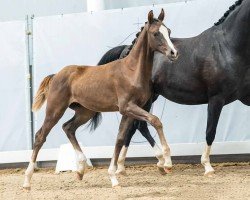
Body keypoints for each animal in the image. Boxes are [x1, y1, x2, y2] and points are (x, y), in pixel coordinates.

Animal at [23, 8, 178, 188]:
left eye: (169, 31)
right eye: (155, 33)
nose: (174, 53)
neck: (131, 71)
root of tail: (56, 76)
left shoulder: (129, 111)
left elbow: (120, 138)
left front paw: (113, 177)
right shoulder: (128, 107)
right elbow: (155, 121)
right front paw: (167, 162)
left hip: (85, 112)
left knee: (68, 128)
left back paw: (80, 169)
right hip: (55, 110)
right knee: (40, 136)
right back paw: (27, 181)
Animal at [96, 0, 249, 176]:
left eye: (169, 32)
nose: (174, 53)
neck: (226, 47)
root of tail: (127, 50)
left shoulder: (246, 97)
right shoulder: (216, 98)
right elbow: (210, 131)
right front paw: (207, 166)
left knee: (133, 128)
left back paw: (123, 167)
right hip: (145, 99)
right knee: (138, 126)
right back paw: (161, 161)